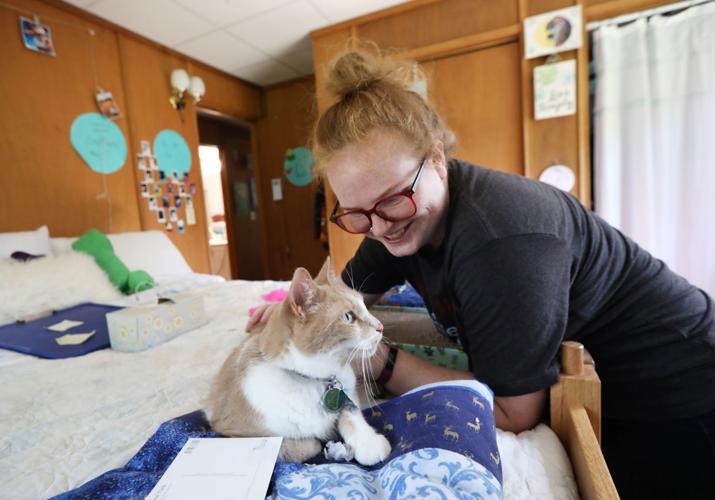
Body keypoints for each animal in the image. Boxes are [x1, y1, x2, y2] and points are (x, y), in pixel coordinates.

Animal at [207, 260, 392, 466]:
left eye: (364, 306)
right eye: (348, 317)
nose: (380, 327)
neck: (314, 379)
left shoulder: (346, 391)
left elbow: (350, 410)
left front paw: (369, 442)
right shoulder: (231, 431)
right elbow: (303, 444)